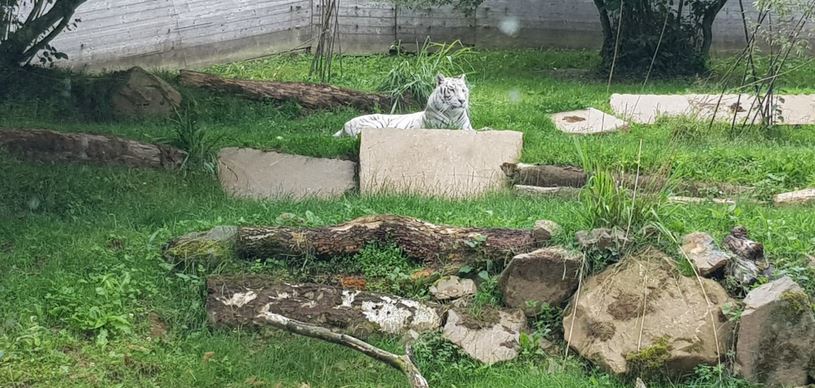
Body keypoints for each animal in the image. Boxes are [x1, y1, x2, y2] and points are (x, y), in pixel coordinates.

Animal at [332, 74, 472, 138]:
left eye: (463, 90)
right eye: (452, 90)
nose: (462, 100)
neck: (453, 114)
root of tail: (344, 124)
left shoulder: (468, 128)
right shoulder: (438, 127)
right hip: (373, 125)